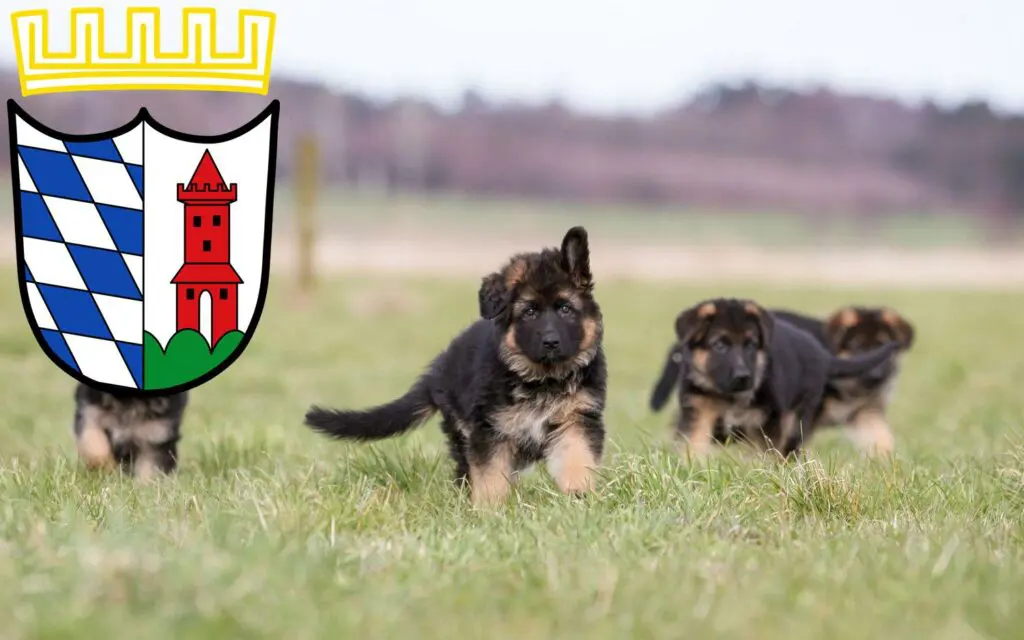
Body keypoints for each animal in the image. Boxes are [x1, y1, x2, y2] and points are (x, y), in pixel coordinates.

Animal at [303, 227, 606, 505]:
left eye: (565, 309)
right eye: (529, 312)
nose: (551, 342)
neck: (542, 380)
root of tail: (438, 369)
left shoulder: (577, 419)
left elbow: (576, 458)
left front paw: (579, 495)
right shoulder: (489, 431)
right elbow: (491, 477)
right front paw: (489, 511)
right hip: (461, 429)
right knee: (466, 471)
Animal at [651, 299, 901, 458]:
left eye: (751, 345)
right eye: (719, 345)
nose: (878, 376)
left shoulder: (865, 413)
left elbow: (882, 439)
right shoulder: (701, 409)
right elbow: (692, 443)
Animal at [770, 305, 917, 454]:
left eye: (882, 345)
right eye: (857, 346)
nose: (875, 375)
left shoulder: (865, 412)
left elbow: (881, 437)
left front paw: (886, 458)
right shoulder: (806, 414)